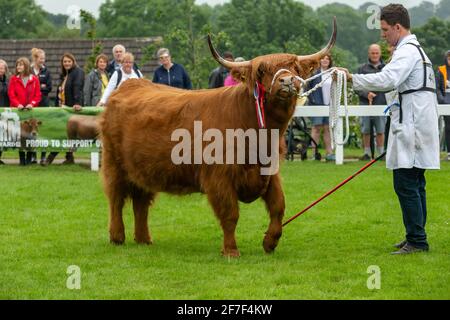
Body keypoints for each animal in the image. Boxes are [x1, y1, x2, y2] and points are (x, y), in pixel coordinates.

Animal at [100, 20, 336, 256]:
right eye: (262, 70)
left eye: (295, 67)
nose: (286, 81)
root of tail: (129, 86)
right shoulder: (219, 177)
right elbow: (230, 214)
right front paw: (231, 250)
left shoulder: (270, 172)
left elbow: (278, 206)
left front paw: (270, 242)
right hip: (114, 164)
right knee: (116, 199)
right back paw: (117, 236)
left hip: (143, 169)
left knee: (141, 202)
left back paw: (143, 239)